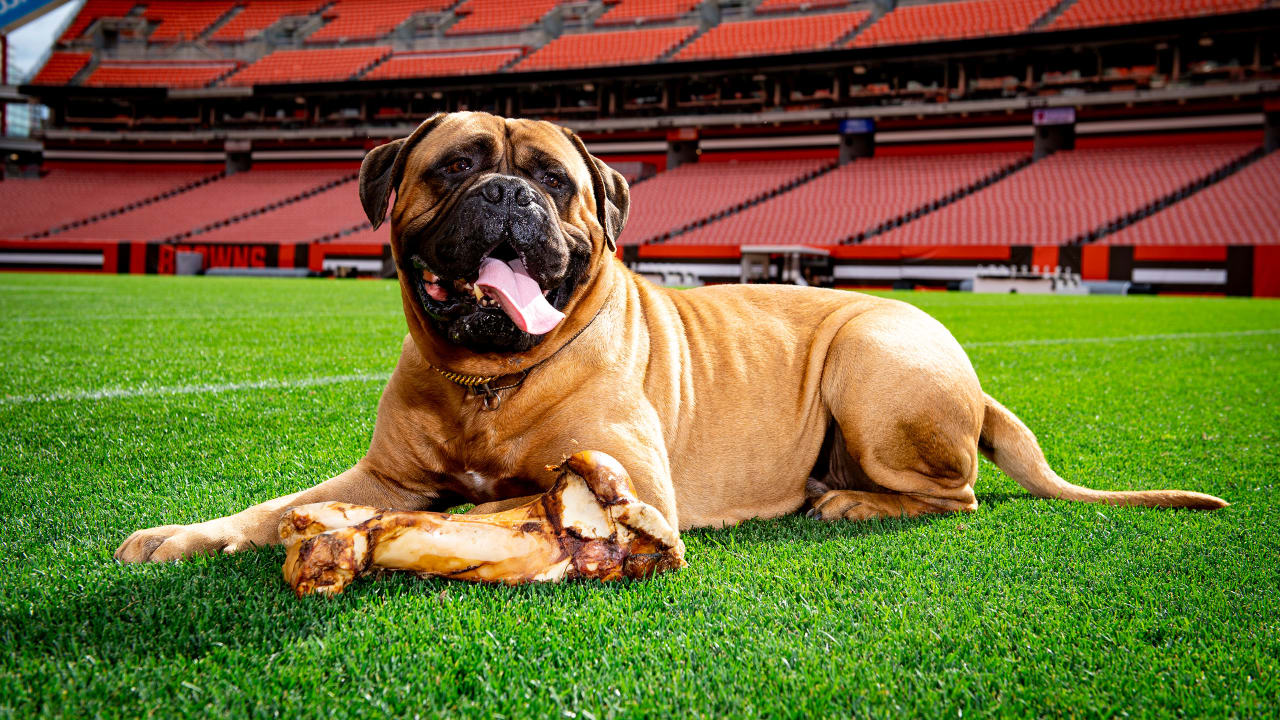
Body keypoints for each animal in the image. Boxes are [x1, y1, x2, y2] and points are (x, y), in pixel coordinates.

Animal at [115, 109, 1223, 563]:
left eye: (554, 180)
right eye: (457, 165)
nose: (509, 196)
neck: (488, 378)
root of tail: (968, 369)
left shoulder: (630, 483)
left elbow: (508, 500)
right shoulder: (381, 474)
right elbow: (276, 506)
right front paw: (189, 535)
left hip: (871, 357)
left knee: (954, 497)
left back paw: (848, 502)